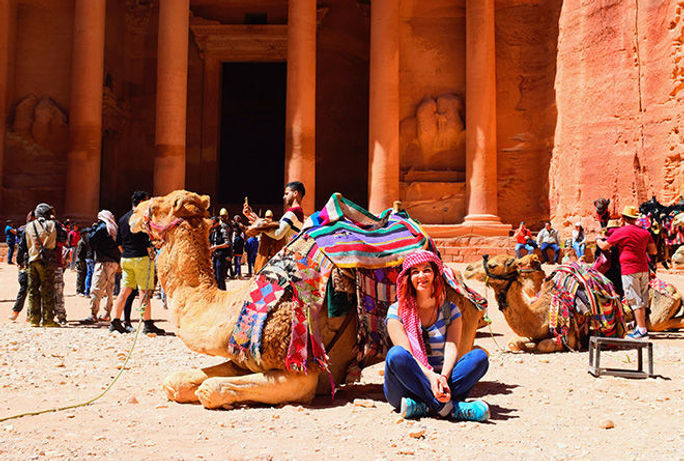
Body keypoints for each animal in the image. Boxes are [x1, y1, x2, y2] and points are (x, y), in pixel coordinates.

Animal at [131, 190, 484, 410]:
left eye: (157, 204)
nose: (132, 211)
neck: (228, 310)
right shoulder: (241, 357)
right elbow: (178, 381)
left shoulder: (303, 373)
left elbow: (210, 389)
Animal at [462, 252, 680, 352]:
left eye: (492, 265)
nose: (468, 269)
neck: (541, 314)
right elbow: (515, 342)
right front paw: (525, 344)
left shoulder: (569, 337)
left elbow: (544, 345)